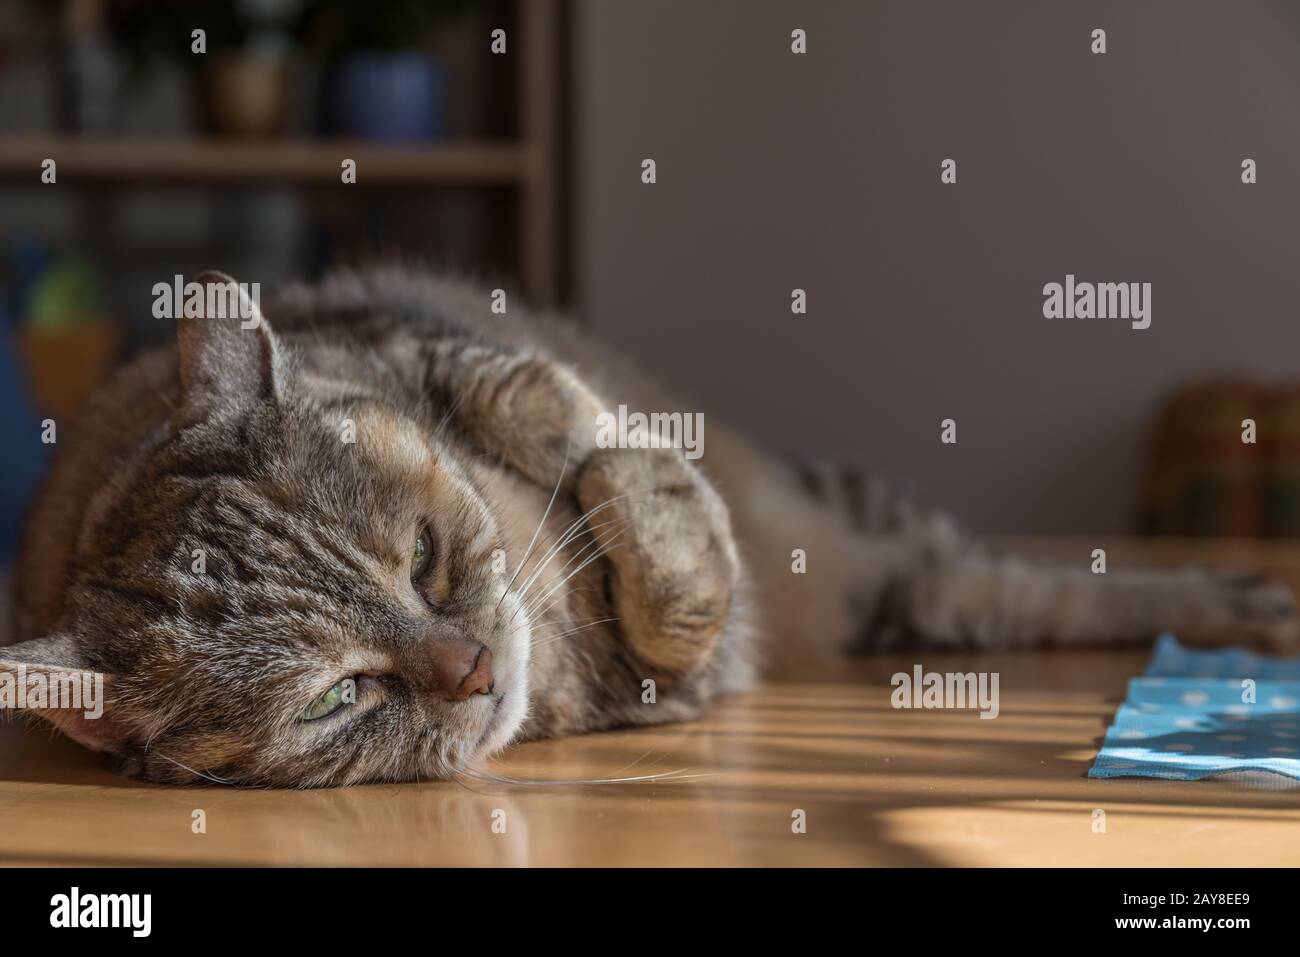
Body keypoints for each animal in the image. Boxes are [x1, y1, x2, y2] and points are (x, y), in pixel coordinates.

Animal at [5, 267, 1294, 785]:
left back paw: (1240, 607)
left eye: (422, 557)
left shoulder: (439, 341)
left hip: (886, 531)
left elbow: (561, 414)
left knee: (1080, 581)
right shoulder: (655, 685)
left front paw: (619, 471)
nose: (475, 666)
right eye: (336, 698)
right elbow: (670, 588)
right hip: (927, 597)